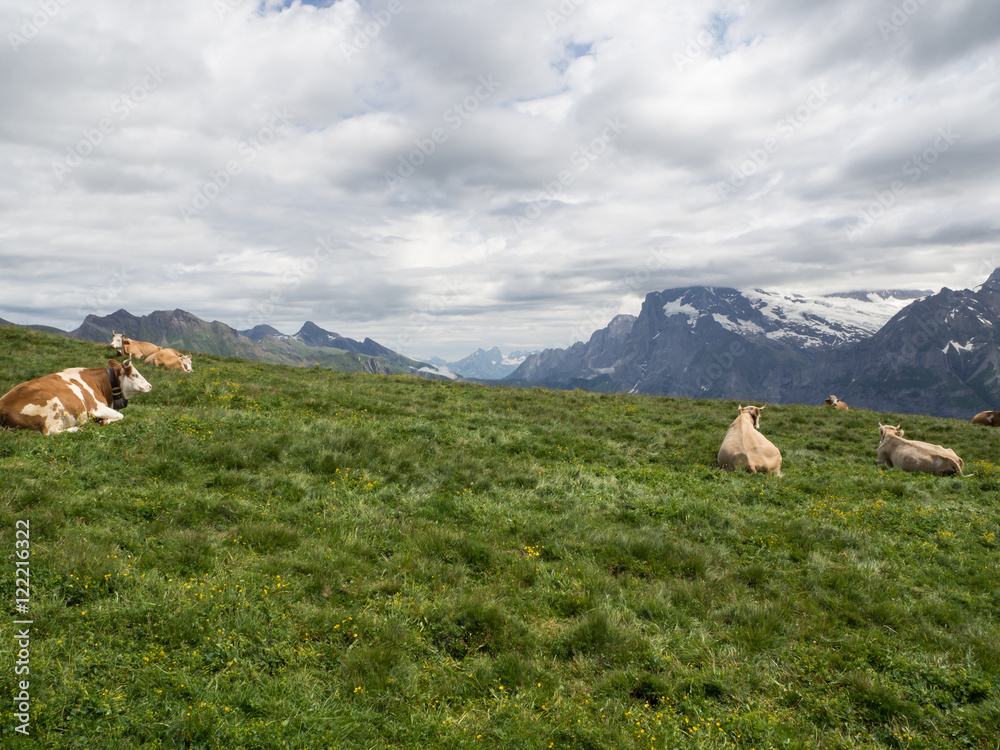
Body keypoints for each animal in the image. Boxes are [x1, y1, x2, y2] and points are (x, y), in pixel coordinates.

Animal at [0, 358, 152, 435]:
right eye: (135, 374)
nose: (150, 386)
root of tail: (3, 405)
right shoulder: (96, 408)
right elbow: (121, 416)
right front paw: (102, 421)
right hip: (51, 407)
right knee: (51, 432)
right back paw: (79, 428)